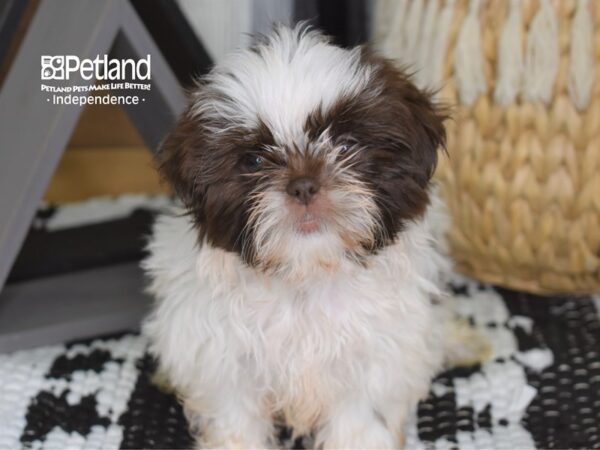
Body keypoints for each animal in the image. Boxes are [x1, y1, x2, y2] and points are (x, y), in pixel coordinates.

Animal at [143, 25, 448, 450]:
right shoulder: (223, 357)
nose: (303, 186)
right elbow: (235, 416)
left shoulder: (377, 356)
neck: (306, 275)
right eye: (253, 160)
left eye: (346, 145)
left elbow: (361, 417)